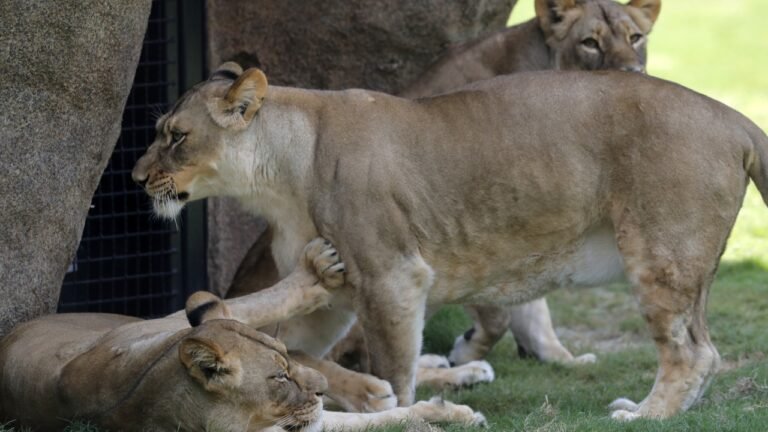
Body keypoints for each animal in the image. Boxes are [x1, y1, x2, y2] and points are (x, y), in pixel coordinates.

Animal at [0, 239, 485, 431]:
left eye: (287, 366)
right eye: (279, 377)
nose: (319, 391)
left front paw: (450, 413)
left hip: (166, 322)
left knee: (230, 307)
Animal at [131, 61, 768, 420]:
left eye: (176, 136)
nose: (136, 177)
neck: (278, 178)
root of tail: (734, 117)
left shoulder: (391, 276)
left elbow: (395, 367)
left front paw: (405, 406)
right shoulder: (331, 296)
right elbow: (294, 349)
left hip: (661, 257)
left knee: (692, 352)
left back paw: (644, 415)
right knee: (703, 351)